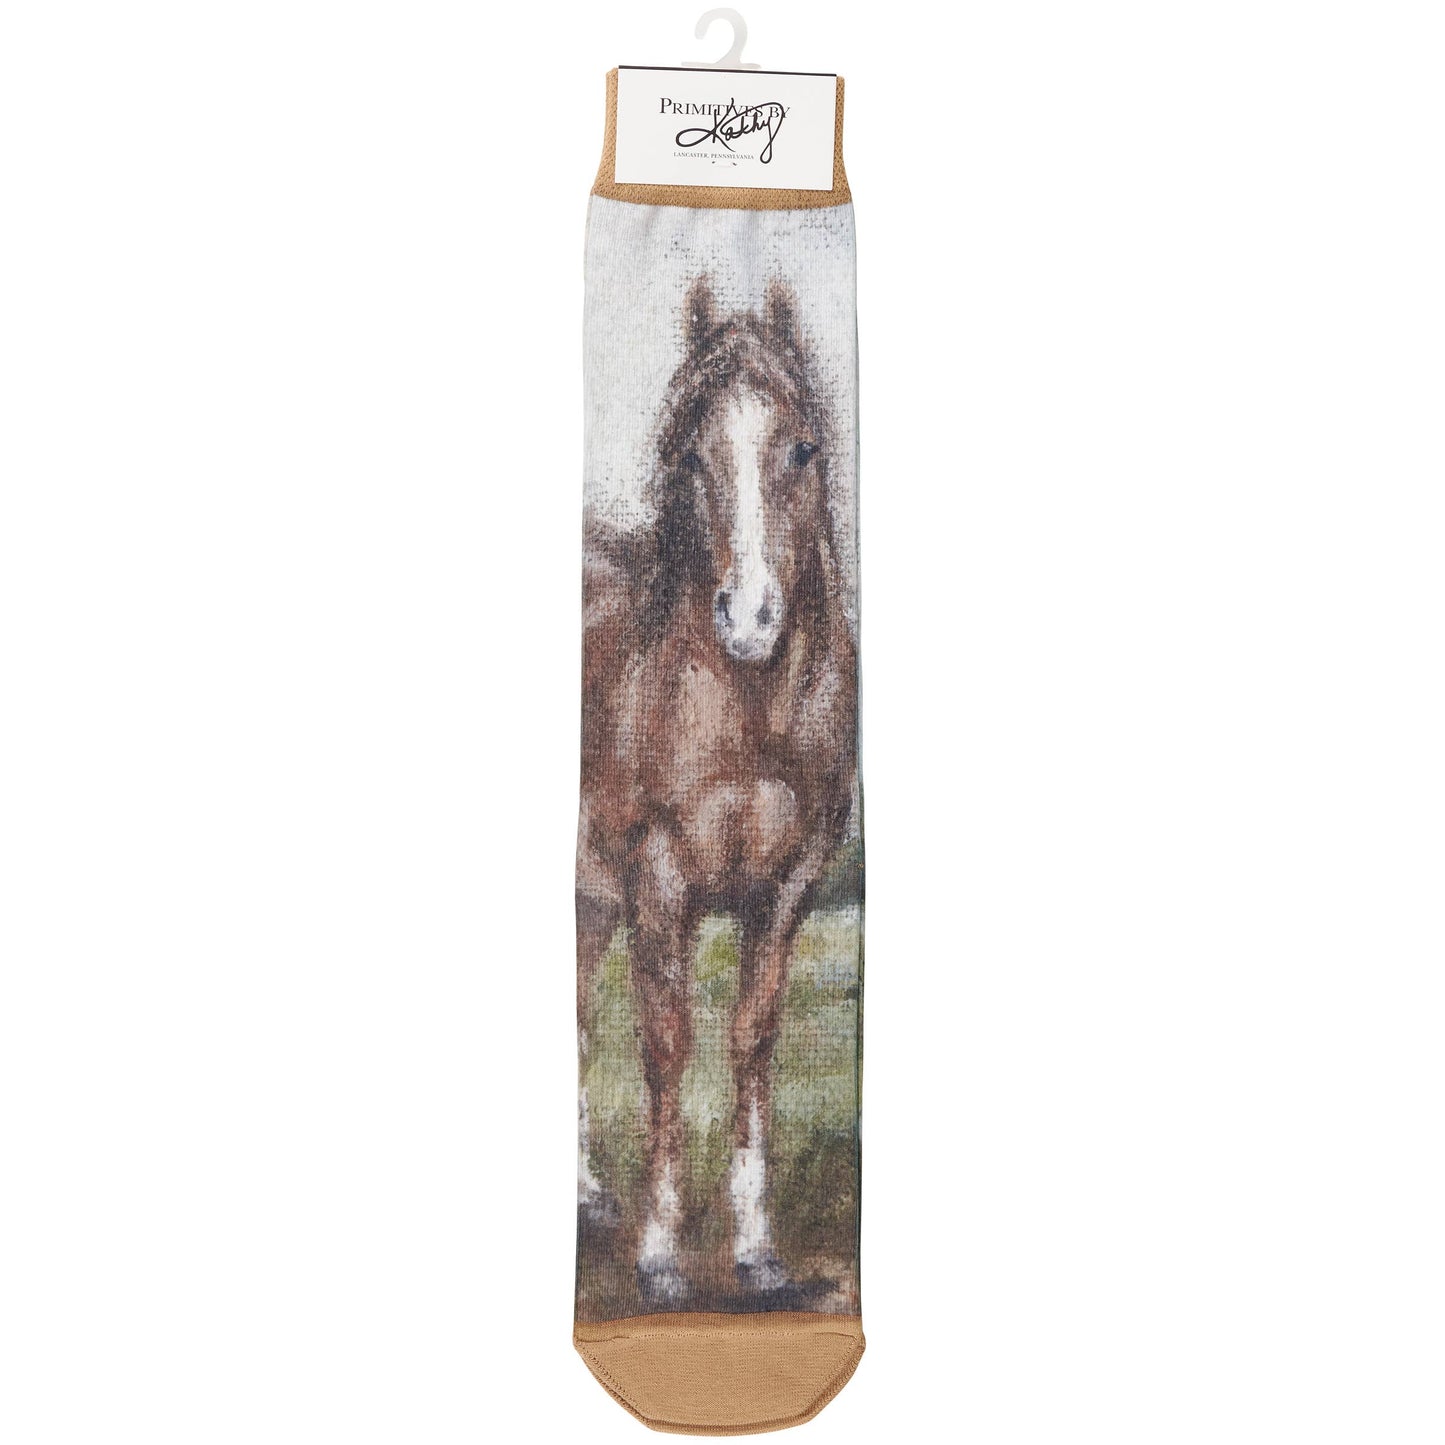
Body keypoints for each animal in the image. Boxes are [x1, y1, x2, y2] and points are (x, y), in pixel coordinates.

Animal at [576, 276, 858, 1306]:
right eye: (692, 454)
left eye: (801, 447)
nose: (748, 618)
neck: (748, 706)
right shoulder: (660, 882)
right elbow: (666, 1048)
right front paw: (660, 1255)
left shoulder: (786, 890)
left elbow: (750, 1042)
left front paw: (757, 1250)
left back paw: (588, 1196)